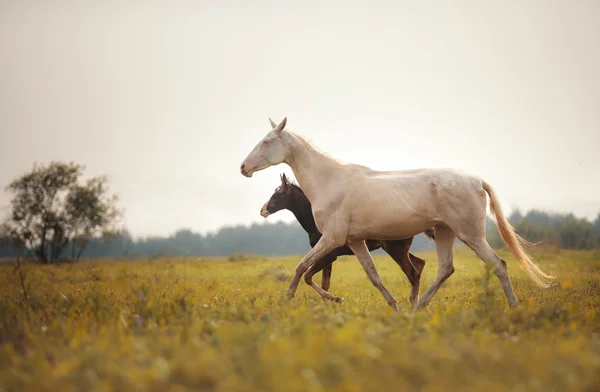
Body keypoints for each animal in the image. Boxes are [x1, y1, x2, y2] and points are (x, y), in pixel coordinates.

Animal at [260, 174, 434, 306]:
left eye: (280, 194)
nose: (263, 210)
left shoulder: (329, 255)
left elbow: (309, 276)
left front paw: (336, 299)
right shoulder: (328, 257)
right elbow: (323, 281)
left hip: (396, 249)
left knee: (413, 272)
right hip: (396, 249)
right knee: (420, 263)